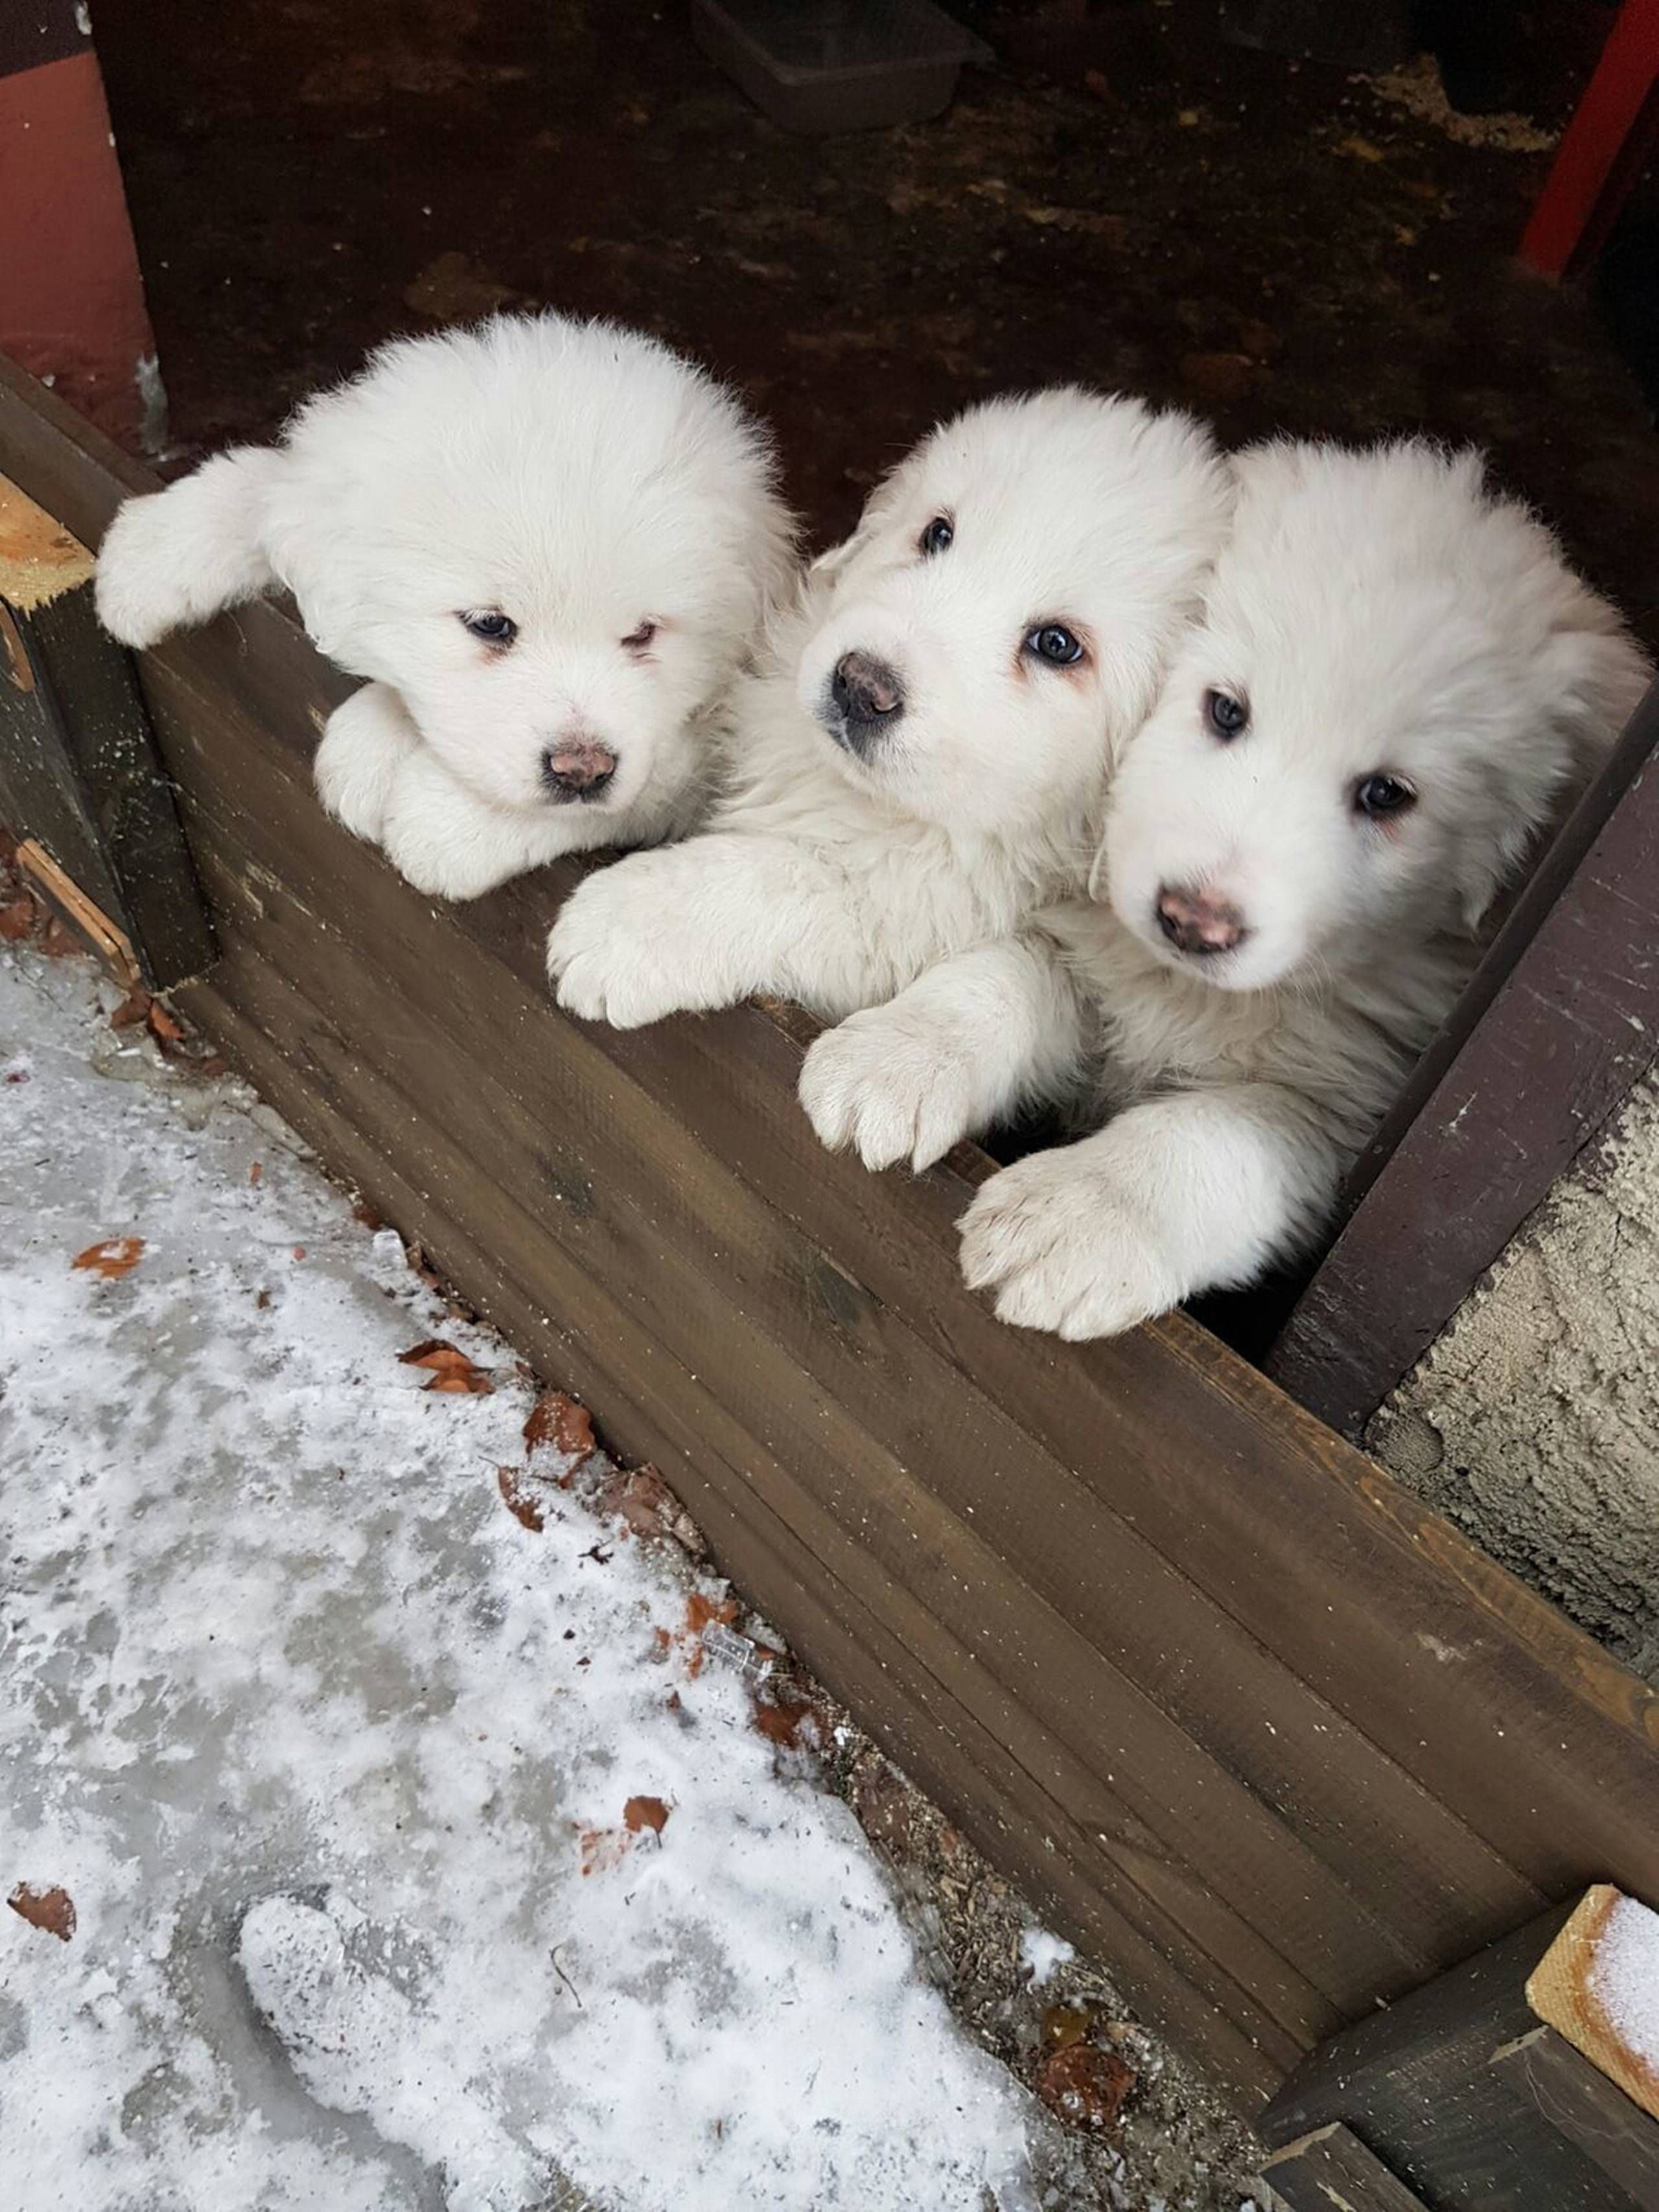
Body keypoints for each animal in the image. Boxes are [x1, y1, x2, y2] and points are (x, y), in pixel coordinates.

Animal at [95, 312, 800, 898]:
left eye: (643, 634)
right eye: (490, 626)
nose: (582, 770)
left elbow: (661, 777)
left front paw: (447, 822)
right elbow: (268, 485)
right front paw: (148, 556)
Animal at [955, 429, 1654, 1327]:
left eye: (1386, 794)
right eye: (1225, 710)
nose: (1194, 920)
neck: (1192, 994)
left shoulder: (1335, 1114)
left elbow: (1208, 1135)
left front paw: (1072, 1216)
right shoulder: (1089, 949)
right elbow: (1014, 973)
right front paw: (898, 1048)